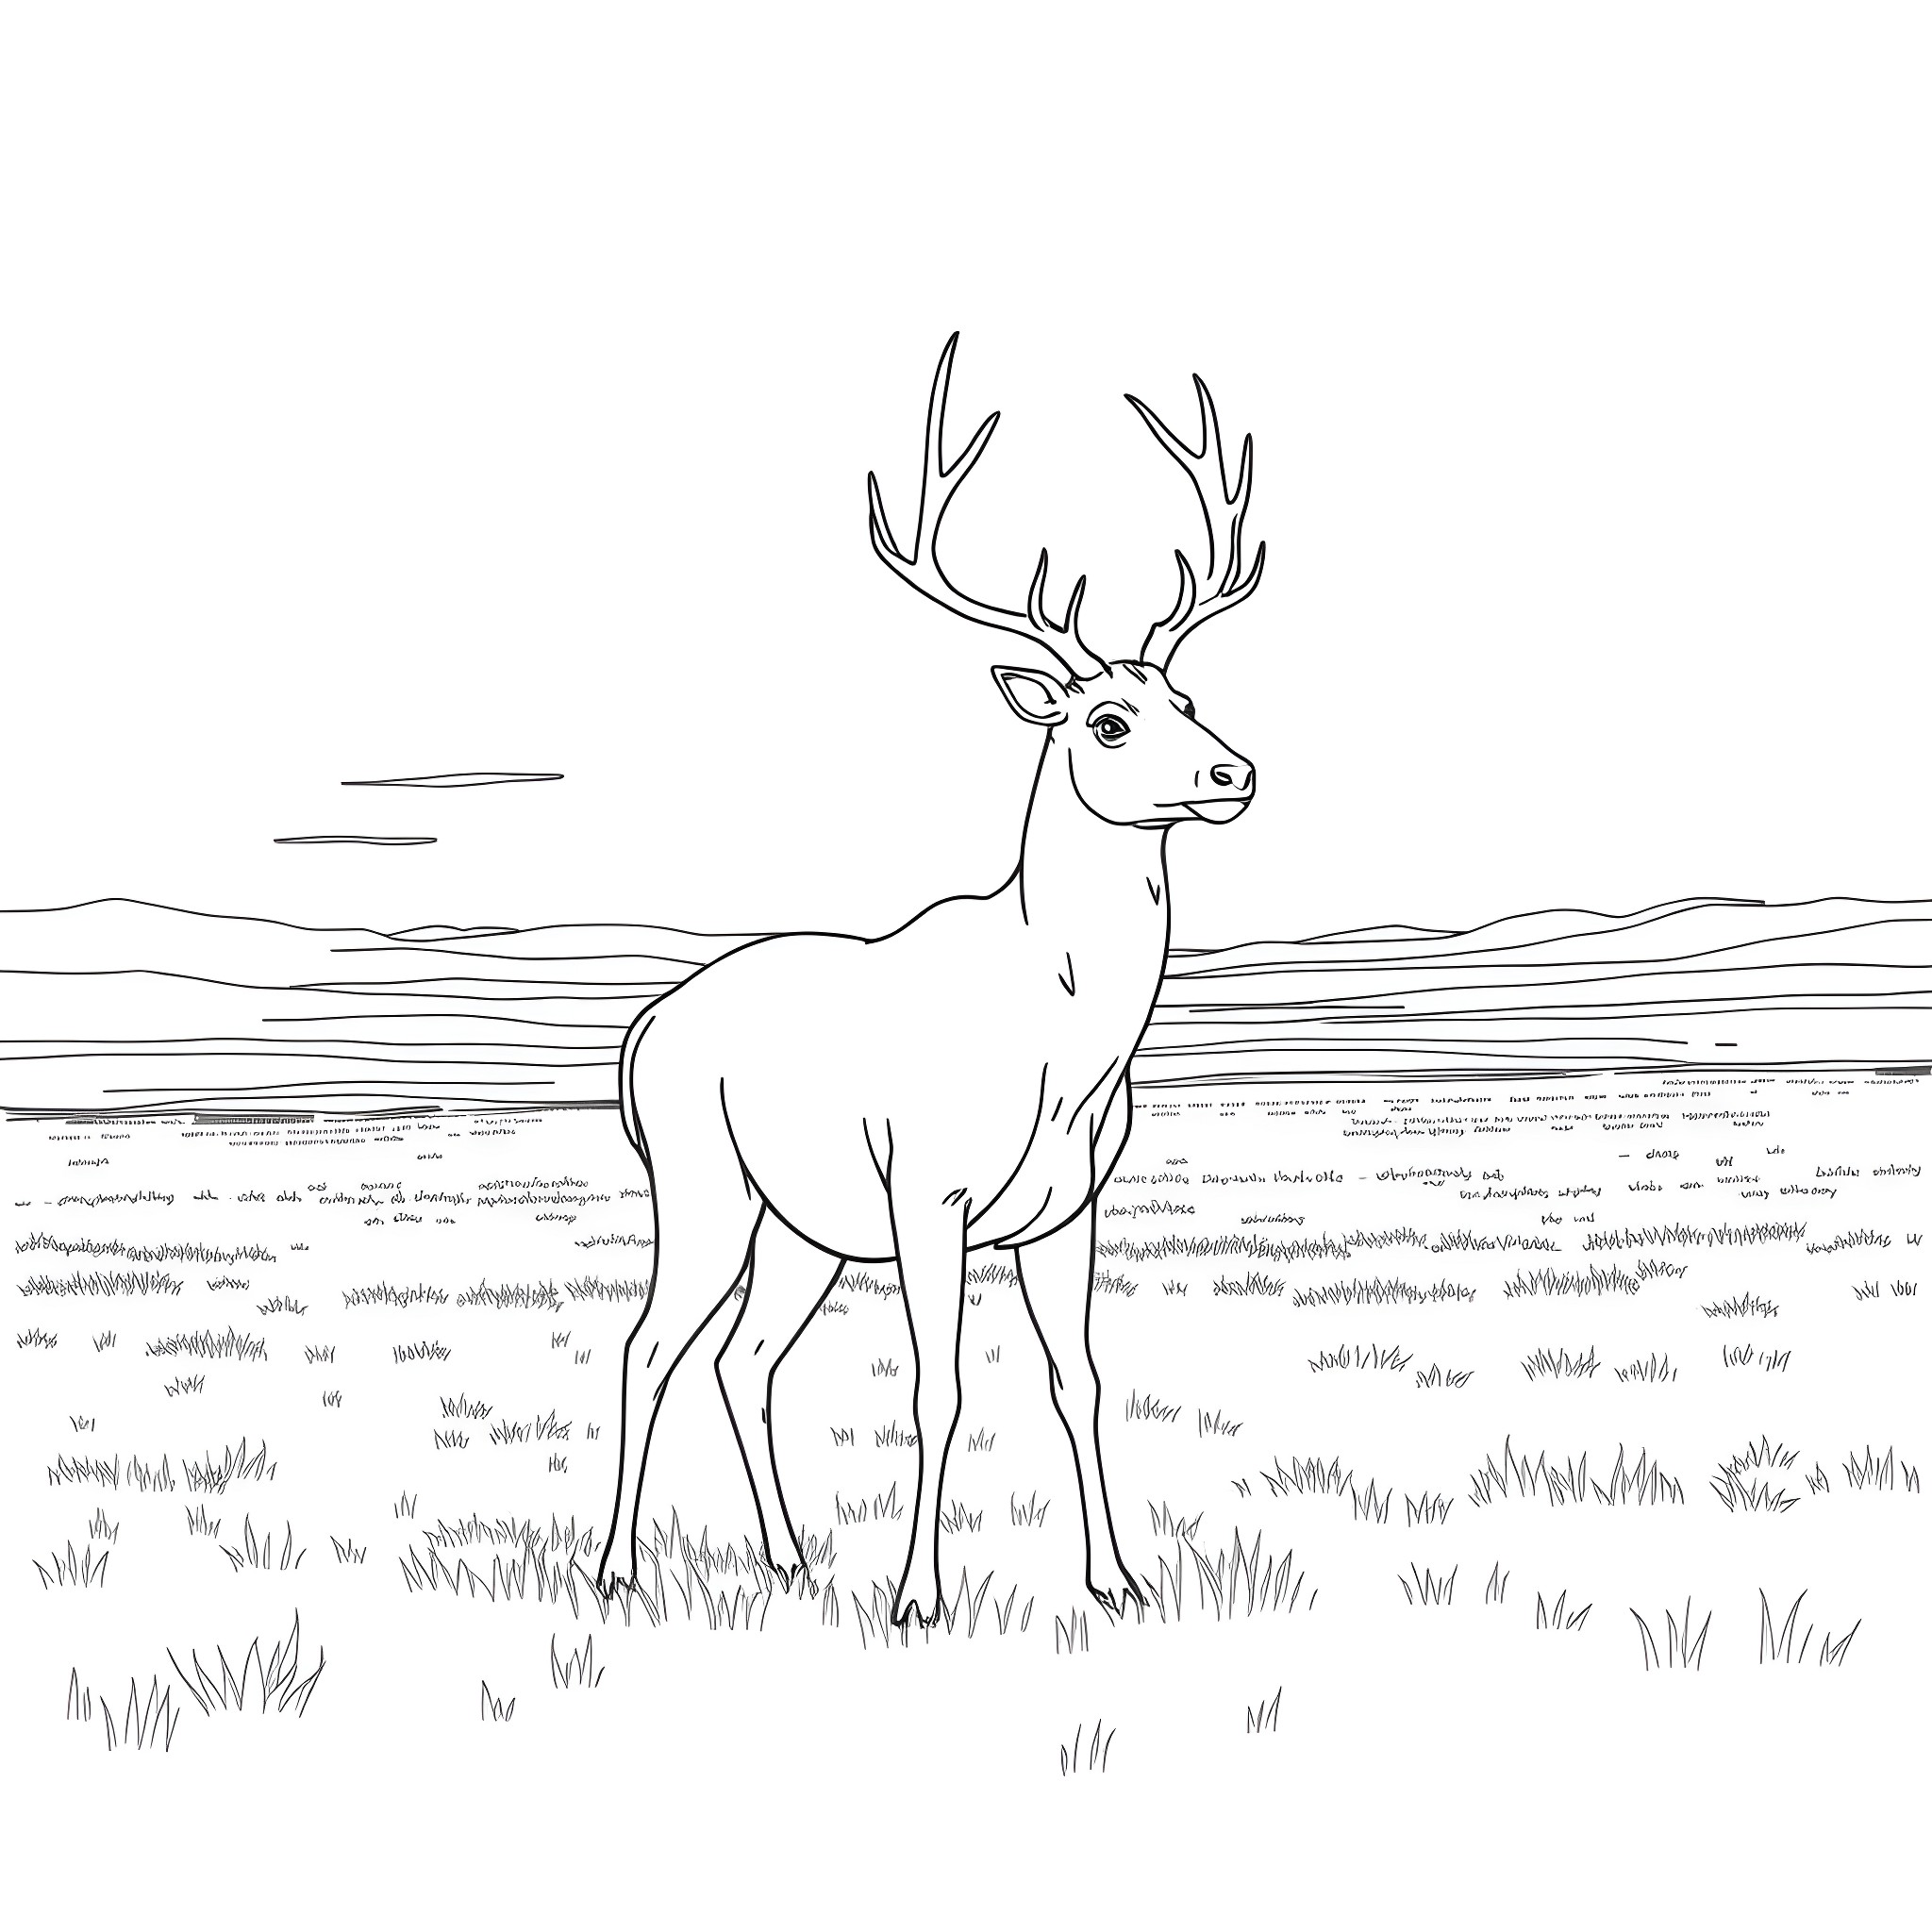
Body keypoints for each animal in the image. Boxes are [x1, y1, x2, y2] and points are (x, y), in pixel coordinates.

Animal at [596, 334, 1265, 1623]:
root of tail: (641, 1033)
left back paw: (790, 1555)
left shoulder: (1066, 1207)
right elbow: (936, 1388)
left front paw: (1115, 1578)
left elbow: (1078, 1377)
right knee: (648, 1346)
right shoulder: (928, 1192)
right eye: (1106, 721)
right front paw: (919, 1595)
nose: (1233, 771)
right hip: (703, 1185)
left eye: (1187, 697)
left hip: (800, 1226)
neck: (1063, 1040)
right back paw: (612, 1568)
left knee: (745, 1355)